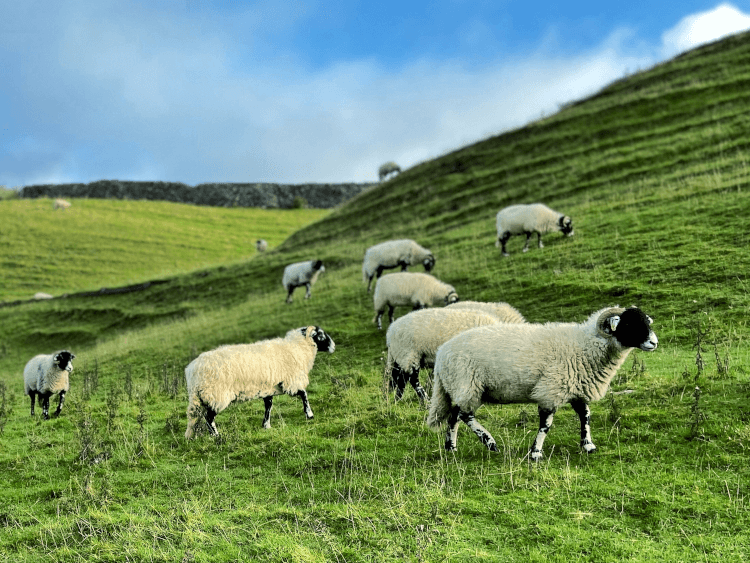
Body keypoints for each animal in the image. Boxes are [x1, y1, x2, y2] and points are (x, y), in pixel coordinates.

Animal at [184, 324, 336, 438]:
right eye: (321, 335)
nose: (334, 347)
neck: (297, 348)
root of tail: (193, 370)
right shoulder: (290, 381)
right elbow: (304, 394)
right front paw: (309, 414)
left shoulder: (268, 387)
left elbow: (268, 406)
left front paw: (266, 425)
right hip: (215, 394)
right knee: (208, 418)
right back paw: (216, 436)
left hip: (199, 396)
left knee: (194, 416)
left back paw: (193, 435)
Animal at [384, 306, 524, 404]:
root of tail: (390, 332)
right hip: (409, 354)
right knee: (412, 378)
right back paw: (425, 399)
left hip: (401, 356)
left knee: (400, 378)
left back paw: (397, 399)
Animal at [428, 306, 656, 460]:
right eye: (629, 324)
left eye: (646, 322)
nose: (654, 342)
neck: (585, 346)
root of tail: (442, 353)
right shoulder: (551, 389)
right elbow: (546, 425)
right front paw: (535, 453)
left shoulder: (575, 388)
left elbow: (585, 416)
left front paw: (588, 445)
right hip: (467, 384)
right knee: (465, 415)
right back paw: (490, 442)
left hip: (467, 388)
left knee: (454, 416)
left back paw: (451, 448)